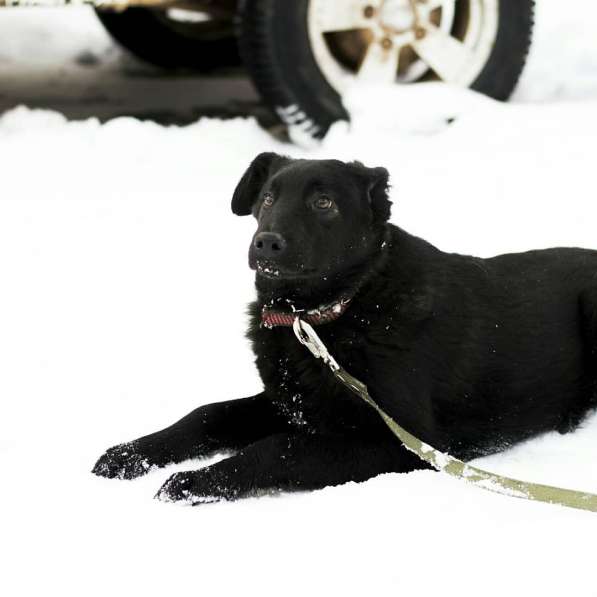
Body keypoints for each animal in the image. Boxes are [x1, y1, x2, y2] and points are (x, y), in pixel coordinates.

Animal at [91, 151, 596, 500]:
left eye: (323, 202)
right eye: (268, 198)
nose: (265, 242)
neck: (327, 315)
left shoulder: (400, 441)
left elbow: (277, 448)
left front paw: (194, 482)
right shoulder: (293, 401)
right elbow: (207, 413)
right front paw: (129, 454)